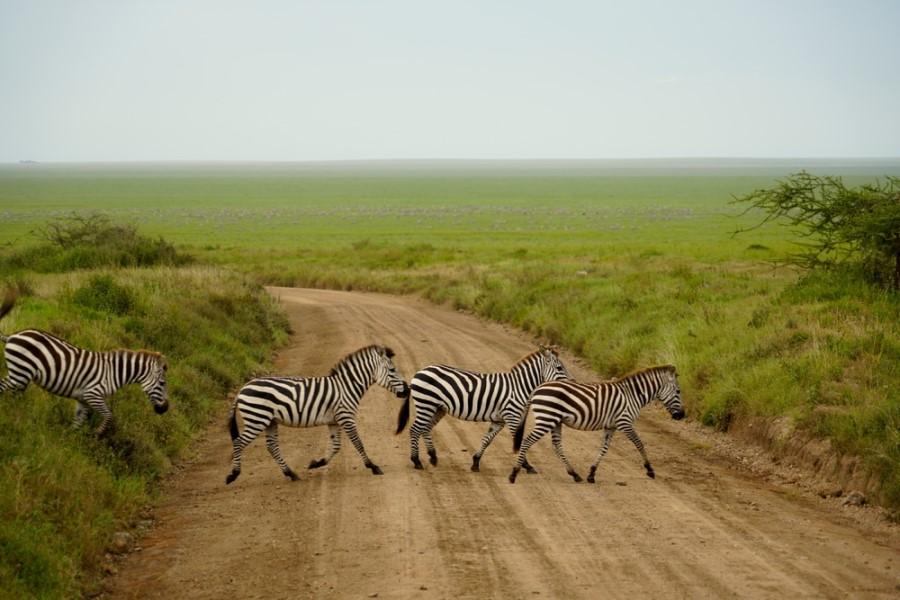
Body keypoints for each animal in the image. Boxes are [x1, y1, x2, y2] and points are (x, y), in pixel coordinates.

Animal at [0, 292, 169, 435]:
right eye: (162, 383)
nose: (165, 409)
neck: (114, 373)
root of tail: (13, 335)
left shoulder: (83, 400)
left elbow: (78, 421)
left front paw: (72, 442)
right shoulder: (93, 395)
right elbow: (109, 416)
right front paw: (97, 433)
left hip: (20, 373)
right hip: (20, 372)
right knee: (3, 386)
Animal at [225, 344, 410, 484]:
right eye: (392, 370)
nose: (407, 389)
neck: (347, 386)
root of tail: (242, 389)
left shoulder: (334, 421)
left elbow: (336, 446)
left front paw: (316, 463)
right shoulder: (346, 417)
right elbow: (358, 443)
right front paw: (373, 466)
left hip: (269, 421)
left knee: (272, 447)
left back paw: (290, 474)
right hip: (257, 420)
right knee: (238, 442)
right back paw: (233, 475)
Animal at [396, 346, 570, 472]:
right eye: (559, 368)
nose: (572, 383)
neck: (519, 387)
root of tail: (420, 371)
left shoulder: (499, 420)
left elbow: (487, 440)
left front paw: (475, 462)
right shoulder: (512, 416)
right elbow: (518, 441)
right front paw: (527, 466)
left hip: (437, 408)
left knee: (425, 429)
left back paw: (433, 457)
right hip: (426, 404)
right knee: (415, 429)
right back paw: (416, 461)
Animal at [509, 365, 684, 484]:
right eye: (678, 392)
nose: (681, 416)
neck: (633, 395)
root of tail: (538, 388)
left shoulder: (611, 426)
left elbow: (604, 449)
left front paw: (592, 474)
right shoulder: (625, 422)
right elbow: (639, 444)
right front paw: (650, 470)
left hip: (555, 421)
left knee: (556, 446)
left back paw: (574, 474)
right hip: (546, 418)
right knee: (527, 441)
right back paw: (514, 473)